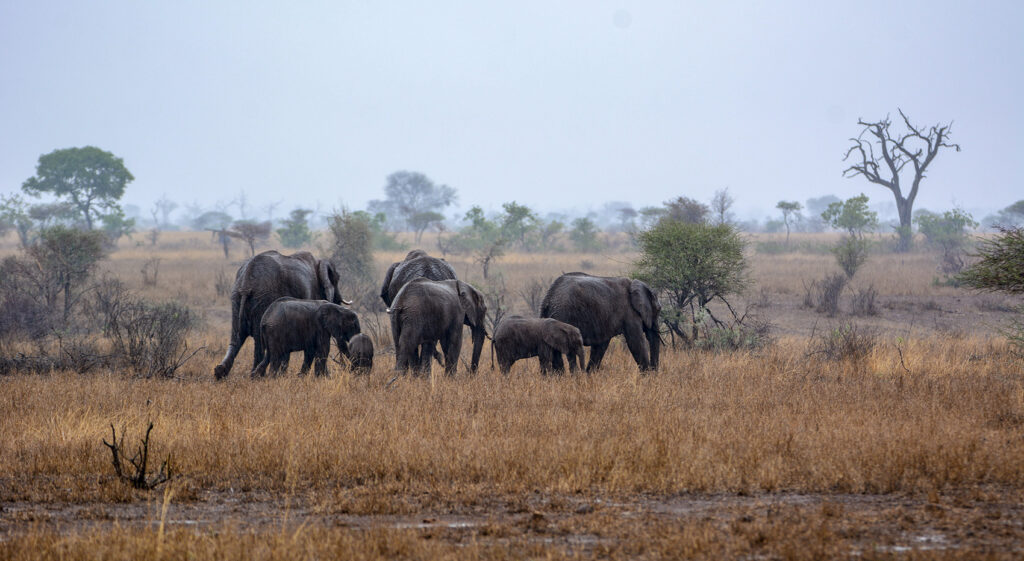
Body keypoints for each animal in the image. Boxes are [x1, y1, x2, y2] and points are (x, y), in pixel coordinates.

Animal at [214, 250, 347, 380]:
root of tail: (246, 284)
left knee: (236, 338)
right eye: (337, 279)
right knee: (258, 341)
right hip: (263, 298)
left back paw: (220, 373)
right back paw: (257, 376)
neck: (318, 263)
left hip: (236, 298)